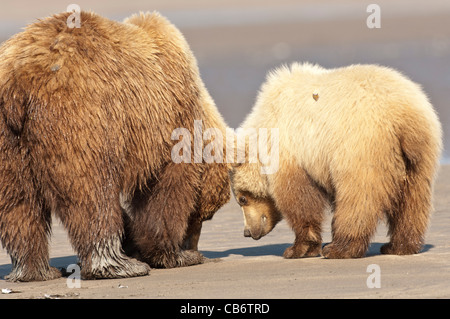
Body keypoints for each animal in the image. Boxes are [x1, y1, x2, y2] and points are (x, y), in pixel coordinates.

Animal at [0, 10, 230, 282]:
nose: (192, 243)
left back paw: (36, 271)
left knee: (18, 203)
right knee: (92, 192)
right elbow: (166, 189)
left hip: (9, 140)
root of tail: (19, 78)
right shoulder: (170, 120)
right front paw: (175, 255)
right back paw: (118, 265)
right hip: (82, 113)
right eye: (206, 215)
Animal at [230, 62, 442, 260]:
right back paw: (399, 246)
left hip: (360, 146)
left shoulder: (293, 149)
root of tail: (404, 115)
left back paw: (340, 248)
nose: (247, 232)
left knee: (357, 197)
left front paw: (297, 248)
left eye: (242, 198)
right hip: (419, 155)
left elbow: (299, 199)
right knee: (412, 200)